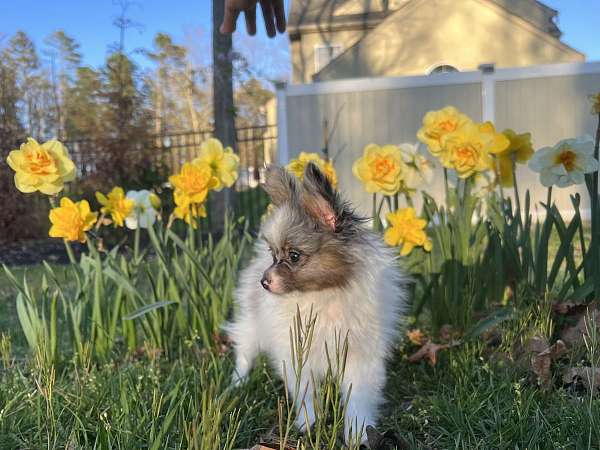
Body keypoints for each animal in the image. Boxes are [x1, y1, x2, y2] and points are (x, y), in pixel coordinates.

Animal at [225, 163, 408, 442]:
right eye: (273, 254)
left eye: (294, 256)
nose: (264, 282)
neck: (324, 294)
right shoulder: (297, 353)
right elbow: (305, 393)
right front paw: (308, 424)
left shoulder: (360, 356)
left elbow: (358, 398)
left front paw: (357, 432)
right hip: (251, 325)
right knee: (245, 351)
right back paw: (238, 383)